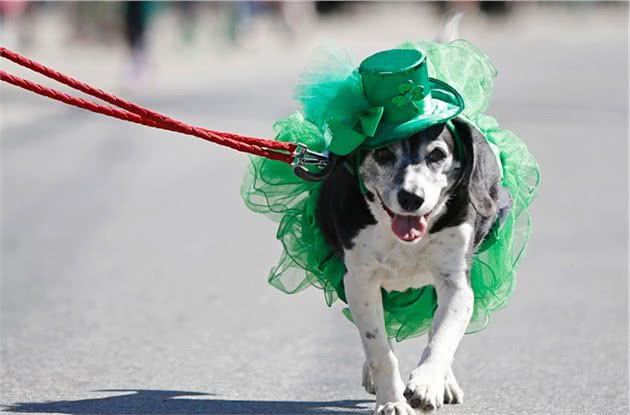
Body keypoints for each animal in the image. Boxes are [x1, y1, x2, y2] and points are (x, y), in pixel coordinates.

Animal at [316, 118, 512, 414]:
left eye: (437, 154)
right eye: (383, 153)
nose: (411, 197)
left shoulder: (456, 283)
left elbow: (443, 337)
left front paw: (427, 385)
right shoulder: (360, 281)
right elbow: (379, 349)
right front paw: (392, 401)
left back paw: (445, 383)